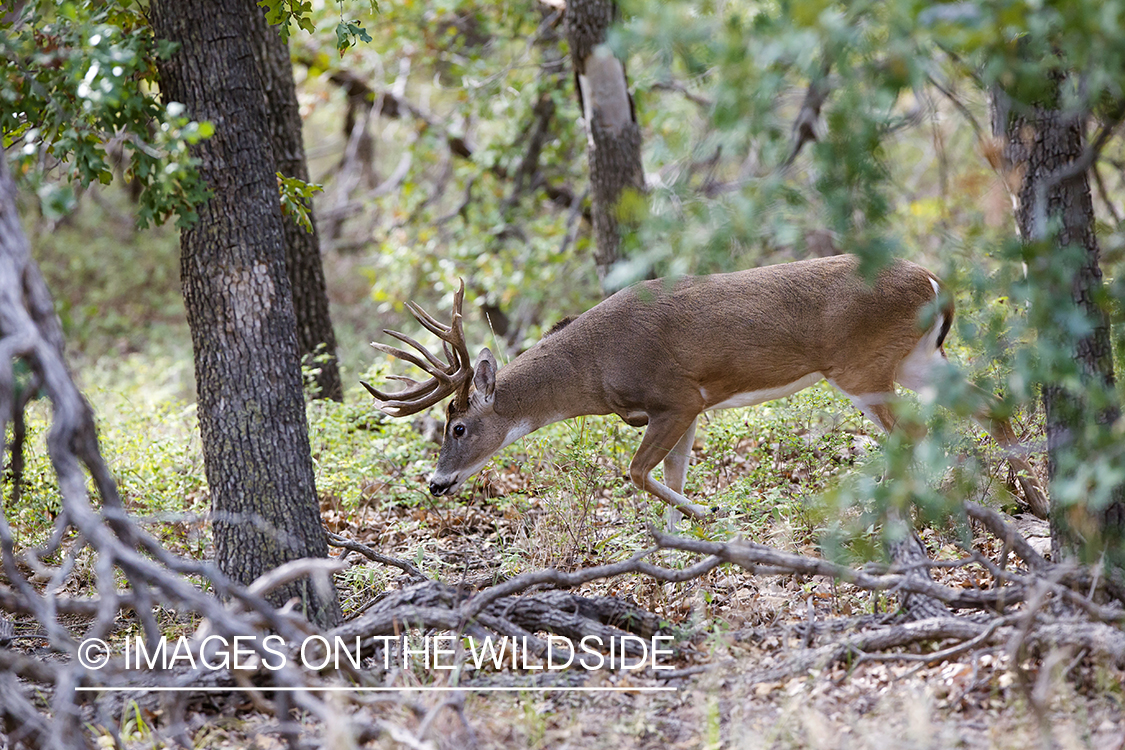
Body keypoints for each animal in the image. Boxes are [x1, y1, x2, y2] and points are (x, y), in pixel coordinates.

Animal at [364, 255, 1048, 519]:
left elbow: (638, 472)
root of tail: (933, 281)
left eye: (457, 426)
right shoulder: (686, 407)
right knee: (989, 403)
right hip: (916, 357)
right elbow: (673, 474)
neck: (594, 369)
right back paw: (1031, 498)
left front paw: (710, 515)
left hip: (862, 367)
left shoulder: (675, 395)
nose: (435, 483)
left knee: (916, 429)